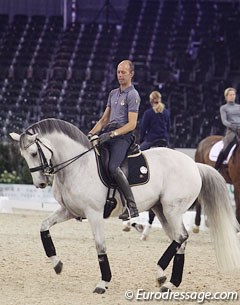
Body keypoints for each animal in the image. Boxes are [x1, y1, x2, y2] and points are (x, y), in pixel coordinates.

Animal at [10, 118, 240, 292]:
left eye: (33, 153)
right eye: (23, 155)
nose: (40, 183)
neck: (77, 165)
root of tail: (193, 163)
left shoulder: (93, 213)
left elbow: (100, 246)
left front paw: (103, 282)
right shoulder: (69, 211)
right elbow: (44, 227)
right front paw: (57, 264)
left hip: (172, 209)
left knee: (181, 237)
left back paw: (163, 275)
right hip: (162, 211)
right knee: (179, 240)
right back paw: (169, 281)